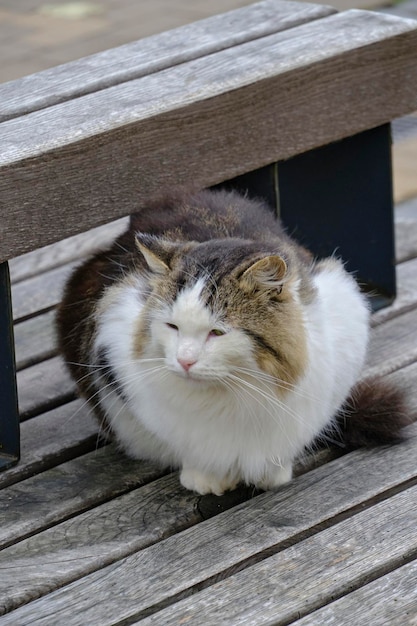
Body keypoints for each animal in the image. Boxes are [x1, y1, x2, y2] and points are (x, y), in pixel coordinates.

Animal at [57, 188, 412, 494]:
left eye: (217, 332)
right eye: (172, 326)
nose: (185, 360)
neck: (235, 394)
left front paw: (273, 473)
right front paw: (204, 478)